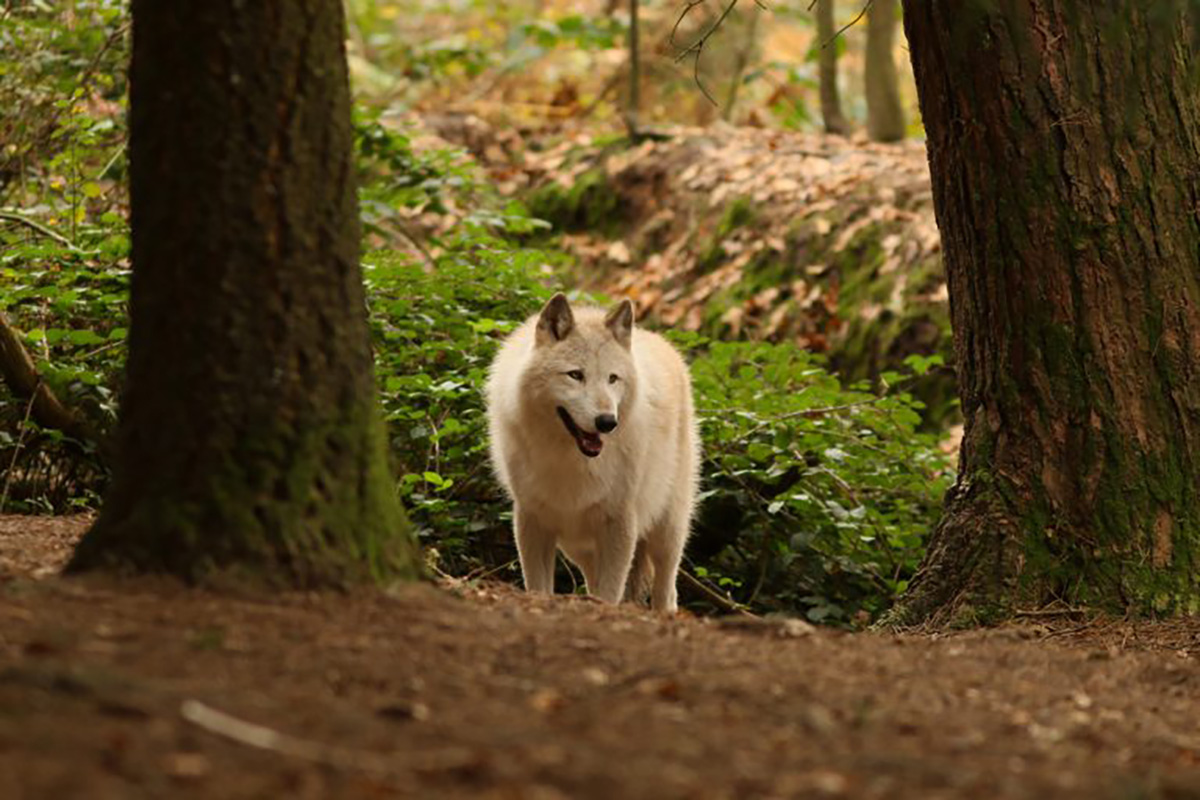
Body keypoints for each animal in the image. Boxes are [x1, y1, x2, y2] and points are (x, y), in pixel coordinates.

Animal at [482, 293, 700, 614]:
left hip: (668, 531)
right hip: (577, 546)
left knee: (666, 590)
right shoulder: (532, 518)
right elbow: (538, 586)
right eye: (575, 375)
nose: (607, 422)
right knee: (594, 580)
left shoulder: (620, 521)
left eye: (613, 378)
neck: (569, 459)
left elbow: (611, 593)